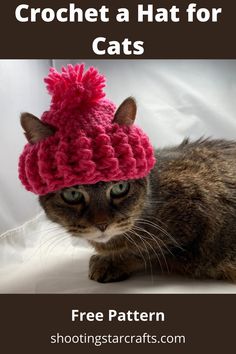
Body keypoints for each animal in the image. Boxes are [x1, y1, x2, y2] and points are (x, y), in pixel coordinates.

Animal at [19, 98, 236, 284]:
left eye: (120, 188)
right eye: (72, 195)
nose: (102, 224)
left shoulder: (200, 214)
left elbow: (147, 251)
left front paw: (111, 261)